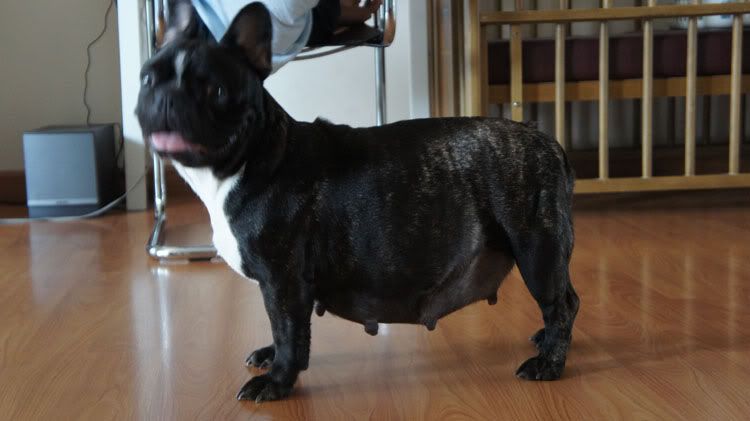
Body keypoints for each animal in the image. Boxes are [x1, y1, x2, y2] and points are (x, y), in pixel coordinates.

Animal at [136, 2, 579, 403]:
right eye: (145, 79)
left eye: (217, 91)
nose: (166, 99)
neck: (255, 153)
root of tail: (547, 140)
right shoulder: (277, 286)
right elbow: (279, 329)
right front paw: (270, 356)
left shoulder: (283, 281)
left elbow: (288, 331)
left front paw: (277, 382)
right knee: (563, 299)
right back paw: (546, 341)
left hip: (535, 248)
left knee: (561, 303)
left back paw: (549, 362)